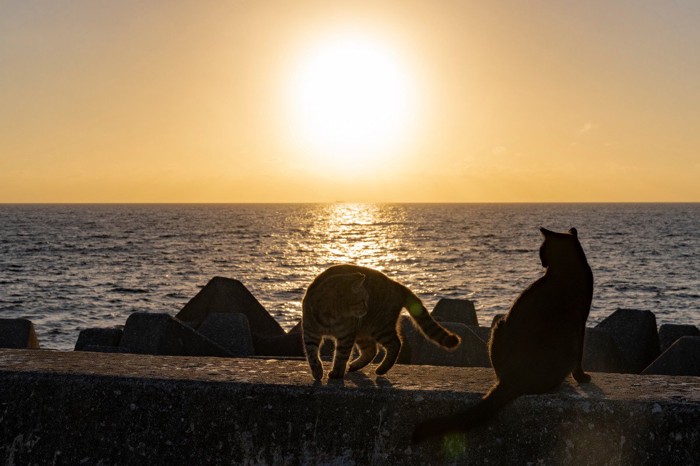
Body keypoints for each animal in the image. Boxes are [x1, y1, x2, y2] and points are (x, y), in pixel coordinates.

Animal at [302, 264, 462, 380]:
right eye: (363, 301)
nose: (366, 309)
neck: (331, 315)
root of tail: (396, 283)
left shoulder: (346, 335)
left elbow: (341, 356)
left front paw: (336, 372)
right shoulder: (310, 333)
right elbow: (312, 355)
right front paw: (317, 372)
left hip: (380, 326)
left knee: (395, 344)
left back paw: (382, 368)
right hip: (363, 331)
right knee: (372, 349)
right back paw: (355, 366)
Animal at [412, 228, 592, 442]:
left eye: (541, 251)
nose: (541, 262)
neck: (566, 266)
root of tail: (511, 381)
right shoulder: (581, 323)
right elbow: (580, 358)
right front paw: (582, 377)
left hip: (498, 327)